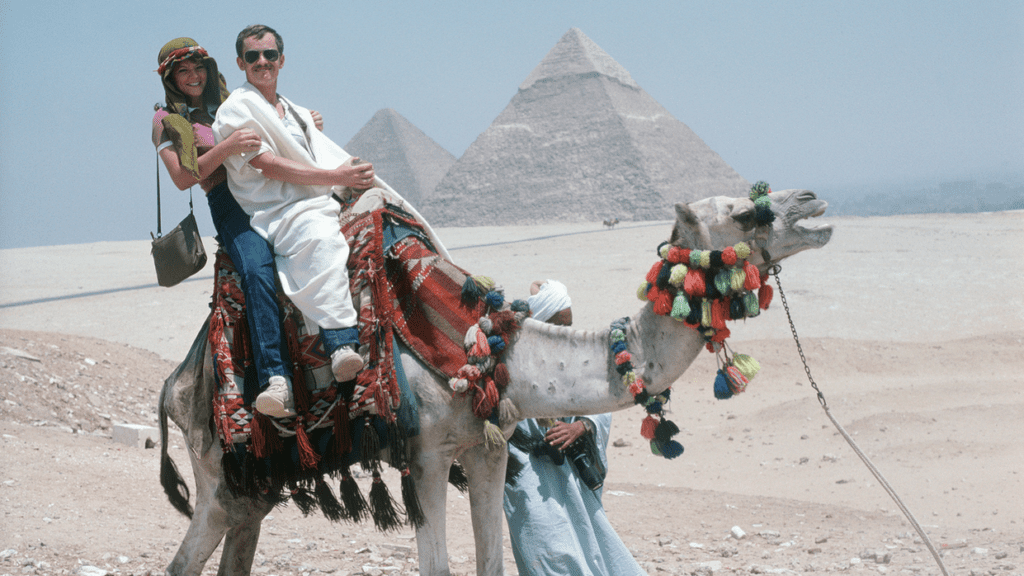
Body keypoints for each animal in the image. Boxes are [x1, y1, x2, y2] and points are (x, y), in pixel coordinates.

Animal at [157, 187, 831, 569]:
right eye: (744, 214)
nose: (815, 203)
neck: (491, 348)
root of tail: (177, 382)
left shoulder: (489, 447)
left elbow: (492, 560)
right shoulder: (426, 454)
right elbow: (439, 565)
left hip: (255, 480)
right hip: (215, 470)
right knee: (183, 560)